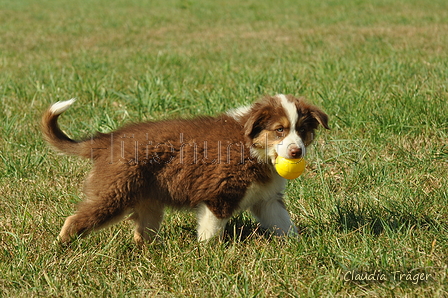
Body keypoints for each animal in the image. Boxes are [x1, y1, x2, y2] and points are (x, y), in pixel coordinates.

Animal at [42, 94, 328, 243]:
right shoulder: (219, 194)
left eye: (302, 130)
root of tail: (108, 139)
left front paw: (299, 245)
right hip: (114, 194)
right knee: (74, 219)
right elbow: (211, 230)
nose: (296, 152)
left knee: (142, 232)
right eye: (279, 130)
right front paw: (209, 255)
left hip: (148, 203)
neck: (252, 147)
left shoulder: (266, 199)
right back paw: (61, 247)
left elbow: (284, 224)